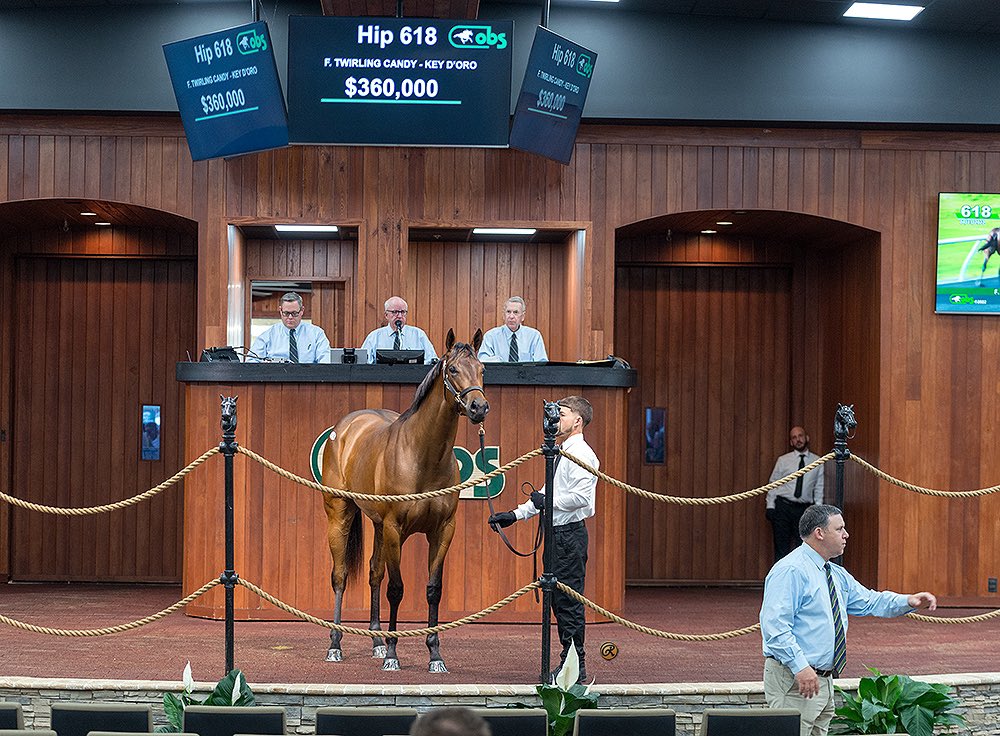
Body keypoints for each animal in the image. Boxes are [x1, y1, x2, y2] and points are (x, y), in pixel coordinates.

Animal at [320, 330, 488, 672]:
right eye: (453, 370)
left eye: (482, 370)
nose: (479, 407)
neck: (422, 456)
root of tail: (344, 428)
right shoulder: (395, 529)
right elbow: (396, 590)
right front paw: (394, 655)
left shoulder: (442, 531)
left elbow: (433, 590)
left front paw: (435, 655)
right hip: (340, 515)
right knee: (340, 577)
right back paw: (335, 644)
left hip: (377, 525)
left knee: (374, 574)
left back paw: (376, 641)